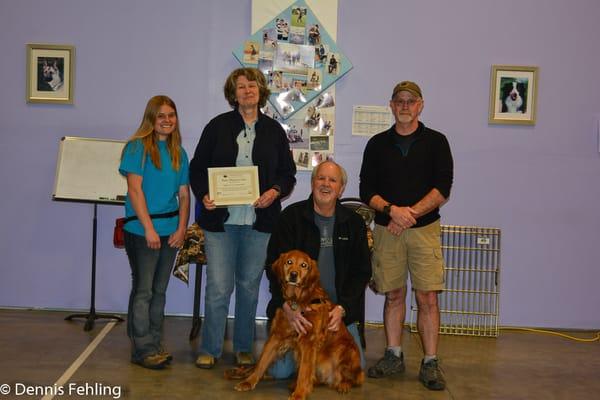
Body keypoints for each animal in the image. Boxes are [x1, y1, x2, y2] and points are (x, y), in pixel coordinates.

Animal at [225, 250, 366, 400]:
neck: (298, 300)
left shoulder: (309, 341)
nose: (293, 274)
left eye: (304, 265)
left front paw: (300, 394)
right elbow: (261, 362)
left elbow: (304, 371)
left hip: (344, 348)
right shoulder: (276, 335)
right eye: (289, 262)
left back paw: (343, 385)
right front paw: (248, 382)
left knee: (355, 377)